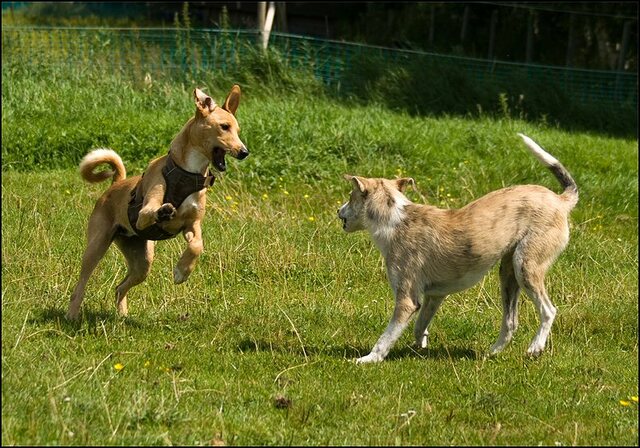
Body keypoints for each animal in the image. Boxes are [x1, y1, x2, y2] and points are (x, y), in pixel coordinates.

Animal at [67, 86, 248, 320]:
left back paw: (122, 315)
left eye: (238, 130)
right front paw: (163, 212)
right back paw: (72, 315)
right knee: (81, 284)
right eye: (224, 127)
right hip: (96, 246)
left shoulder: (192, 224)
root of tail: (117, 183)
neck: (187, 173)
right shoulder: (144, 212)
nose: (244, 152)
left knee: (120, 287)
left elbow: (197, 245)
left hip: (142, 260)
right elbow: (149, 212)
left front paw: (182, 272)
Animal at [338, 134, 576, 364]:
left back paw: (535, 347)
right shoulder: (435, 295)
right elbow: (419, 326)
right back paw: (491, 353)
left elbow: (386, 337)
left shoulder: (407, 299)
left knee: (548, 311)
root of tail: (560, 200)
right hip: (508, 273)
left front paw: (369, 359)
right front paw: (421, 346)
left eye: (350, 197)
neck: (395, 219)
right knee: (511, 322)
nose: (338, 211)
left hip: (525, 266)